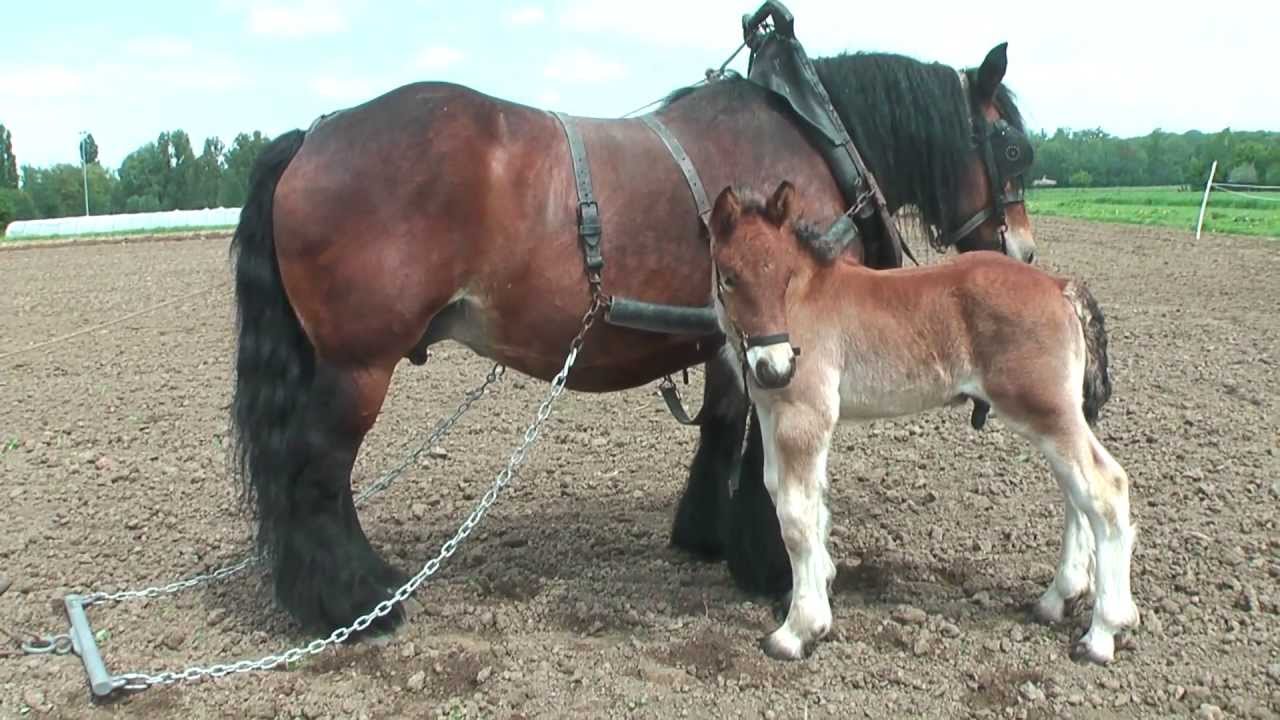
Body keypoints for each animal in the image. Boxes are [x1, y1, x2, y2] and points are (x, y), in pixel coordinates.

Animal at [228, 35, 1037, 636]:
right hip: (359, 362)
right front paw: (773, 566)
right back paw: (356, 603)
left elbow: (721, 430)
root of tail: (314, 135)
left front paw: (707, 535)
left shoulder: (734, 340)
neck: (815, 136)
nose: (1023, 255)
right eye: (1014, 150)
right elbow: (761, 450)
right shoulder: (780, 335)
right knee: (318, 471)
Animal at [705, 180, 1137, 665]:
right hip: (1056, 415)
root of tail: (1059, 285)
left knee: (1105, 488)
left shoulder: (806, 413)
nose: (775, 367)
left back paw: (1102, 633)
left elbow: (797, 517)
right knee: (1076, 492)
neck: (804, 300)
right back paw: (1058, 599)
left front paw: (798, 630)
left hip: (1045, 410)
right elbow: (790, 496)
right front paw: (822, 585)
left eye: (784, 279)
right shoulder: (770, 407)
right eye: (728, 276)